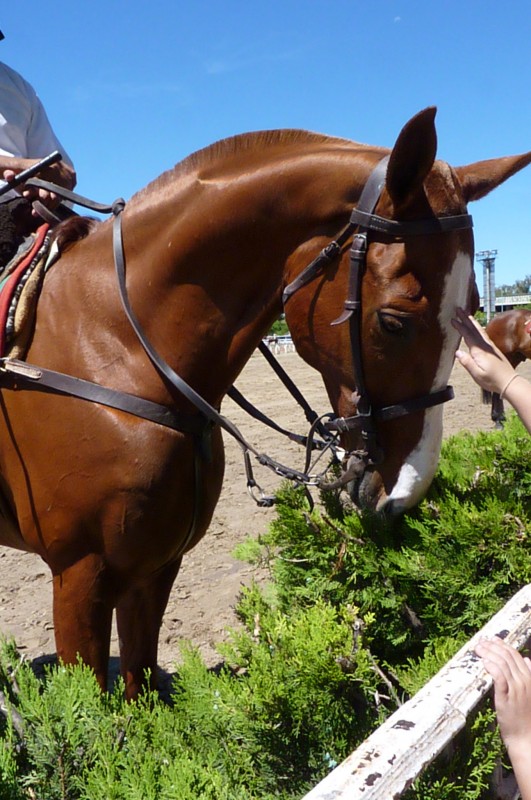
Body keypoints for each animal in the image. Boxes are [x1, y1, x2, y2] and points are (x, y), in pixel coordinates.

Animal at [0, 108, 528, 700]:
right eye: (394, 322)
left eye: (475, 306)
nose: (406, 492)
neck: (110, 345)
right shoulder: (79, 577)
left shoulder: (154, 567)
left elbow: (138, 692)